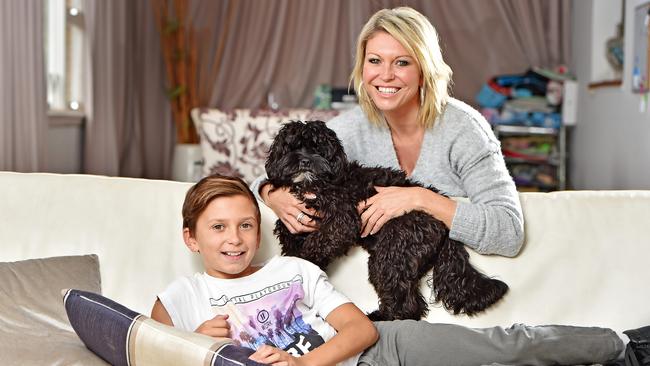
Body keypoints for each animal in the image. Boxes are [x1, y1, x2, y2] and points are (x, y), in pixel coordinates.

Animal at [264, 121, 506, 320]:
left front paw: (302, 263)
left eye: (318, 149)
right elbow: (293, 241)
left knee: (406, 303)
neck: (312, 185)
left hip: (392, 254)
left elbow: (317, 243)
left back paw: (380, 317)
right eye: (292, 147)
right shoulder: (292, 224)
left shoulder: (341, 220)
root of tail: (442, 222)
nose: (305, 160)